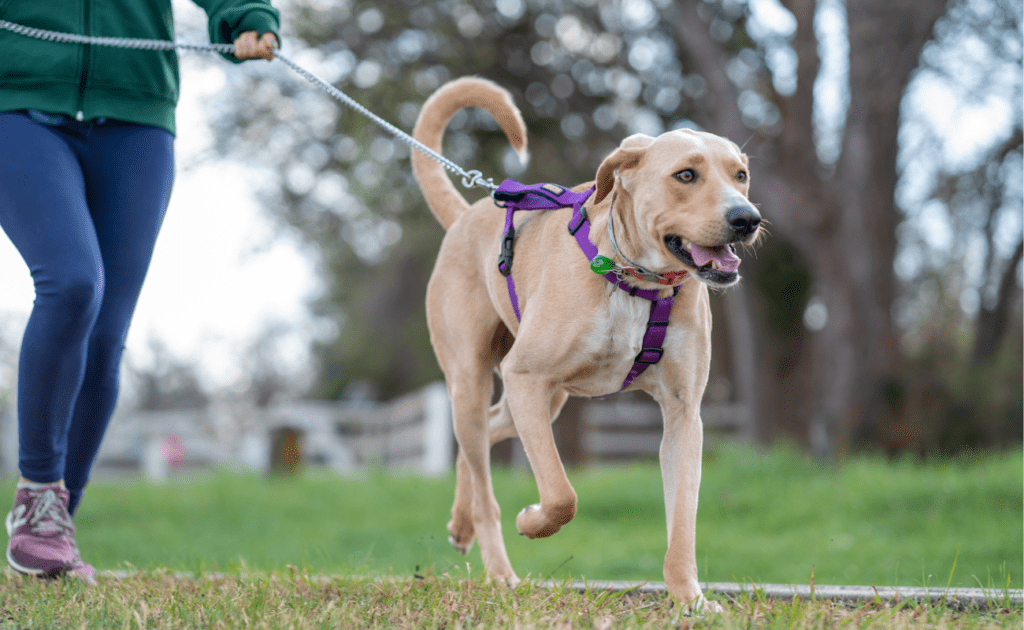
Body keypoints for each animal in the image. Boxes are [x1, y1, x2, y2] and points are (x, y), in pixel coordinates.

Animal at [409, 75, 761, 610]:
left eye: (739, 175)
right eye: (685, 175)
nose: (747, 218)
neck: (635, 282)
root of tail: (469, 214)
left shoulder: (683, 413)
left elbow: (683, 522)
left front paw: (690, 598)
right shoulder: (526, 377)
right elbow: (560, 495)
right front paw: (532, 522)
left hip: (541, 401)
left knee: (482, 440)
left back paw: (460, 521)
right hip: (476, 381)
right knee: (484, 474)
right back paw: (499, 571)